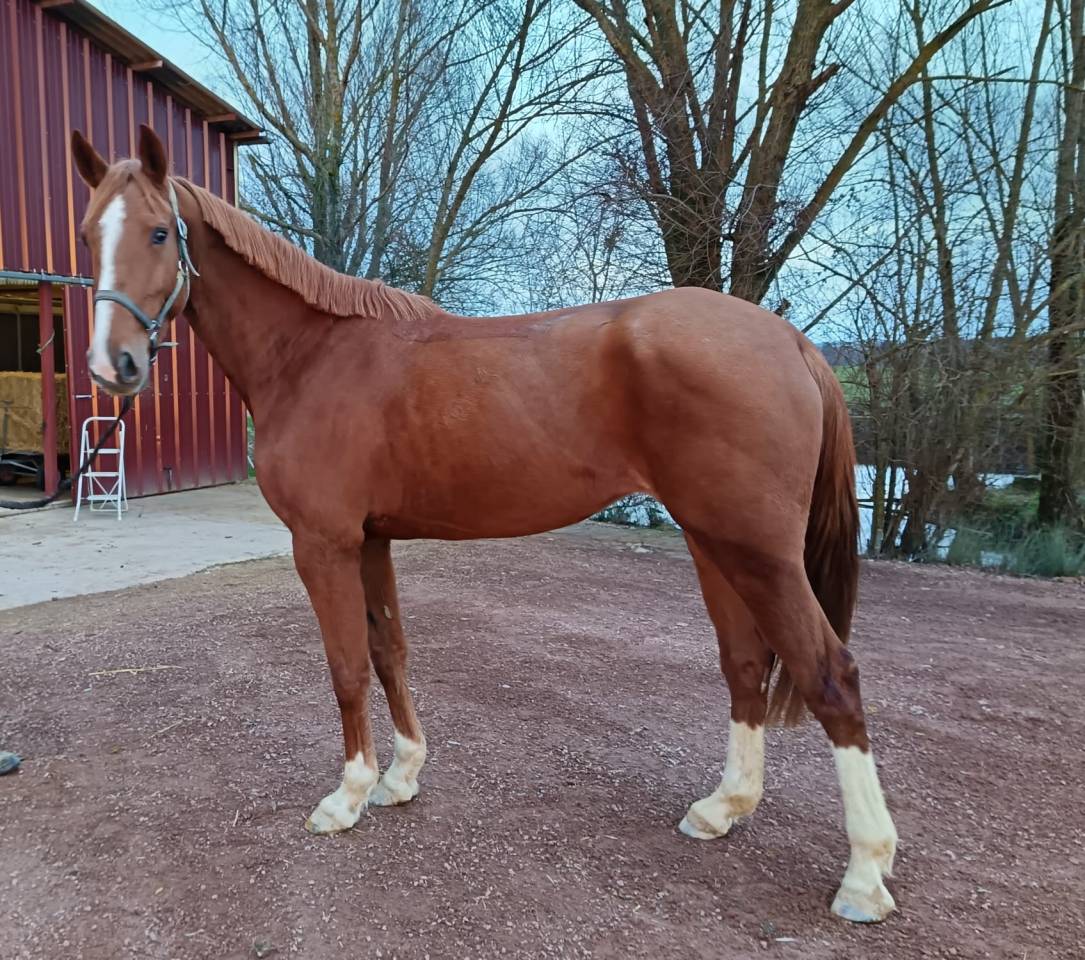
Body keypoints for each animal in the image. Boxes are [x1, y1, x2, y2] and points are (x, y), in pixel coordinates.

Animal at [70, 125, 898, 923]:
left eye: (156, 233)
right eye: (85, 235)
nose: (114, 366)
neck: (312, 357)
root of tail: (790, 340)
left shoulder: (324, 543)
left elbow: (345, 666)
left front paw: (347, 796)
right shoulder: (370, 539)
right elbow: (389, 651)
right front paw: (400, 777)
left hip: (757, 550)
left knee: (830, 675)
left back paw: (863, 874)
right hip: (714, 541)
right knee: (745, 664)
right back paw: (722, 808)